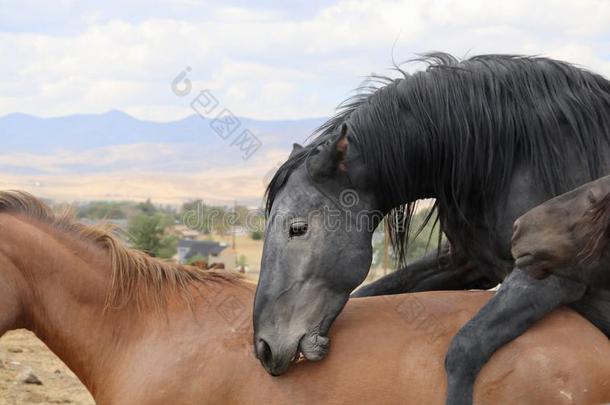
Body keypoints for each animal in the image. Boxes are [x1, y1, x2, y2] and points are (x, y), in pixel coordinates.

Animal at [249, 52, 608, 400]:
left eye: (297, 228)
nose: (263, 348)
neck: (517, 156)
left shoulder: (552, 278)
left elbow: (465, 347)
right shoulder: (468, 265)